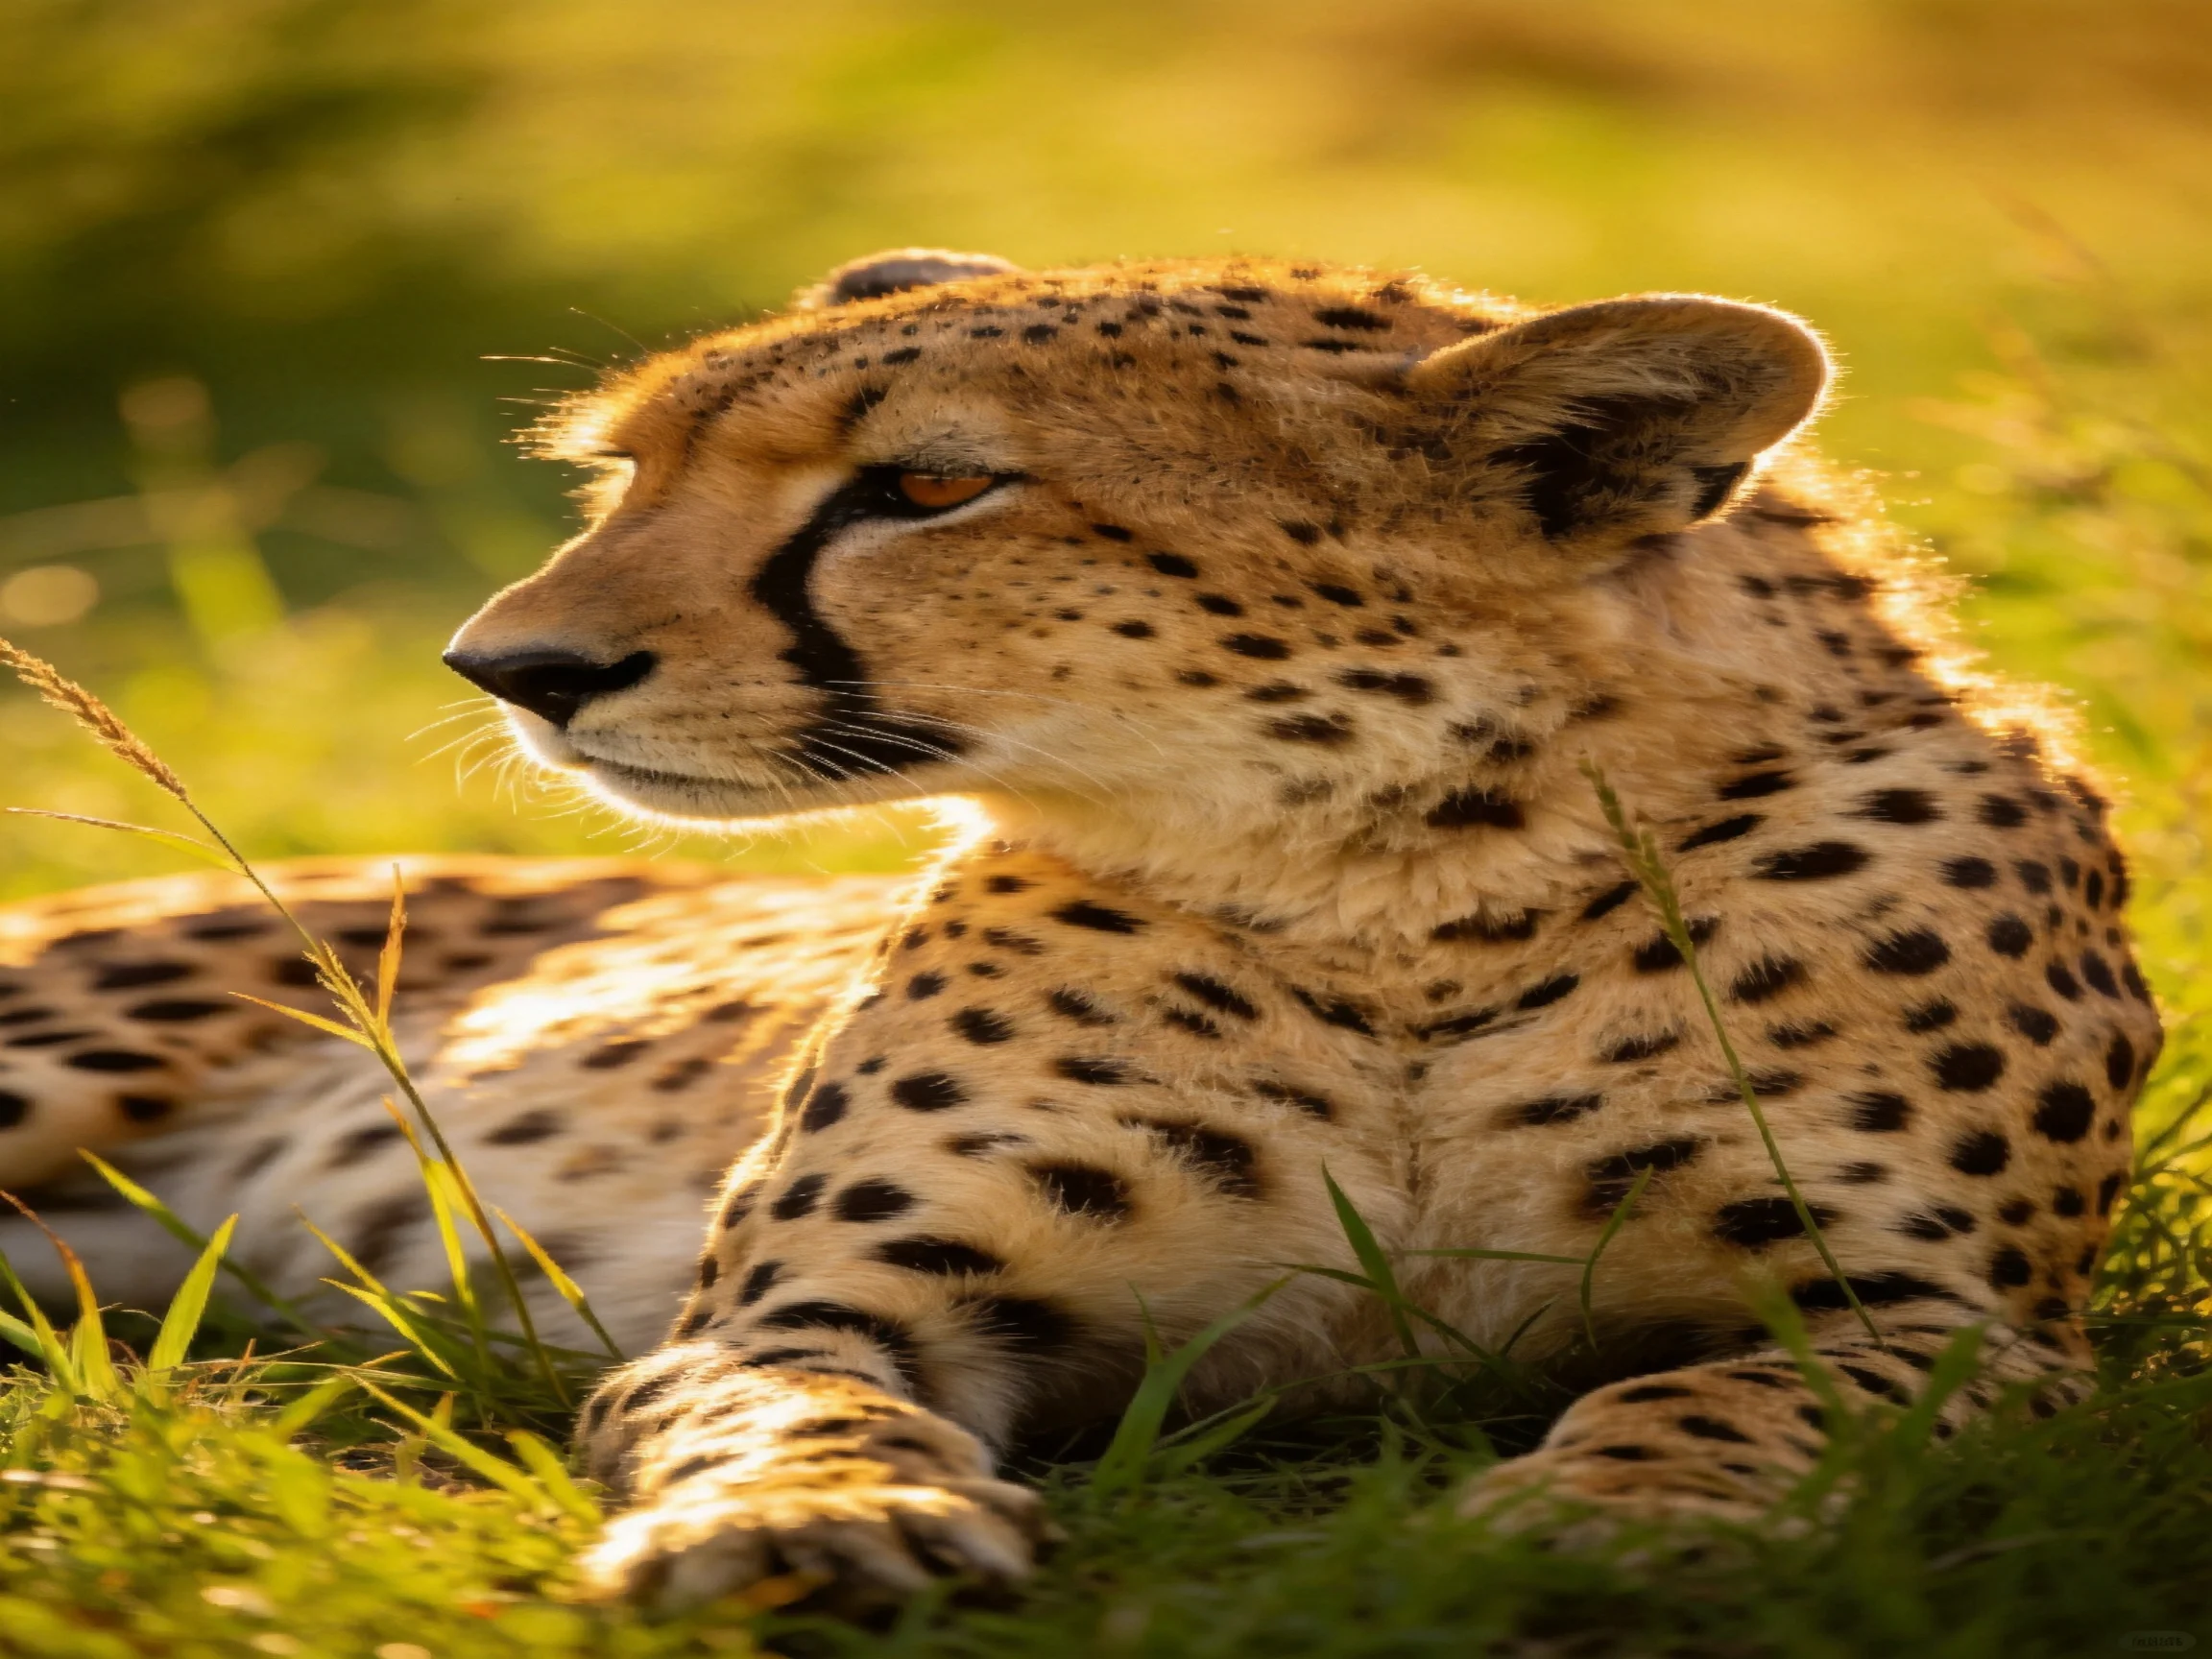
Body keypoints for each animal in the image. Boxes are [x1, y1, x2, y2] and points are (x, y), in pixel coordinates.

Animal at [0, 249, 2160, 1612]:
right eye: (628, 470)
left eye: (927, 482)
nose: (511, 666)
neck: (1400, 884)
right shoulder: (818, 1297)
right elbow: (790, 1402)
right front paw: (814, 1523)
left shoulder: (1959, 1329)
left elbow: (1716, 1396)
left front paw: (1602, 1524)